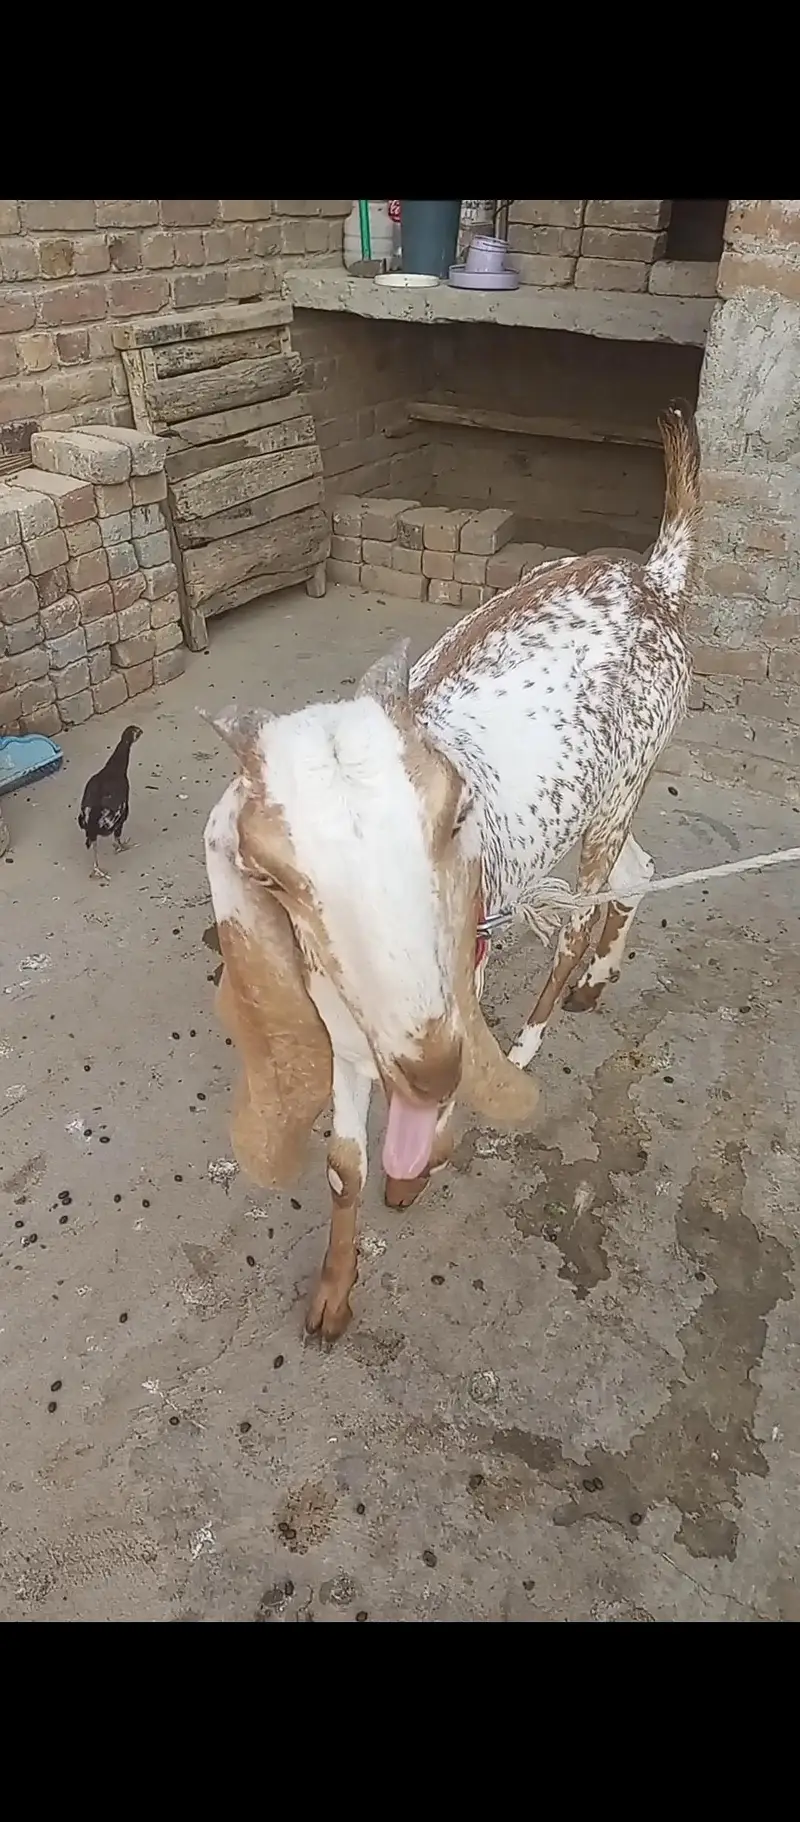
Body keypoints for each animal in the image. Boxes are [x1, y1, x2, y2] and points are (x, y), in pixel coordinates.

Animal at [203, 402, 700, 1343]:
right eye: (275, 874)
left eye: (452, 815)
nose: (427, 1064)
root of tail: (653, 577)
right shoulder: (348, 1025)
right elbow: (342, 1165)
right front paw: (332, 1296)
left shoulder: (457, 974)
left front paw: (423, 1161)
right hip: (616, 795)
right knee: (637, 868)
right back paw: (601, 980)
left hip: (624, 782)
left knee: (580, 914)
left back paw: (543, 1025)